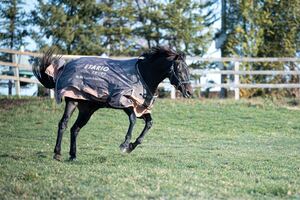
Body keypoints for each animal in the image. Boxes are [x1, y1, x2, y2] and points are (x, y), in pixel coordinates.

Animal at [32, 45, 192, 161]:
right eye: (179, 69)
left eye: (188, 69)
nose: (189, 92)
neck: (141, 75)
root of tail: (63, 68)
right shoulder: (124, 102)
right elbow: (133, 120)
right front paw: (124, 145)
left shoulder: (141, 108)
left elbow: (149, 123)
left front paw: (132, 146)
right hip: (72, 101)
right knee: (63, 124)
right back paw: (57, 154)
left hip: (87, 110)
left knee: (75, 129)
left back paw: (73, 156)